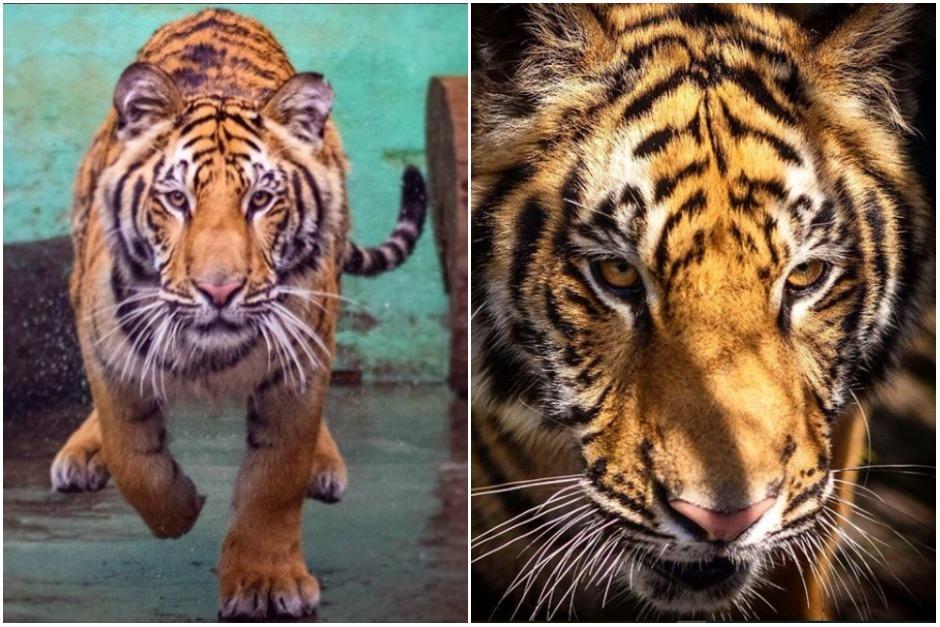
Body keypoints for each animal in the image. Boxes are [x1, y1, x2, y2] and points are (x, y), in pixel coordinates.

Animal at [48, 8, 426, 620]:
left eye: (261, 200)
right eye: (176, 200)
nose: (219, 290)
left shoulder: (298, 366)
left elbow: (276, 478)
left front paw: (266, 583)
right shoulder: (106, 348)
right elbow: (133, 457)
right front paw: (181, 508)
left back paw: (324, 466)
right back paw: (82, 455)